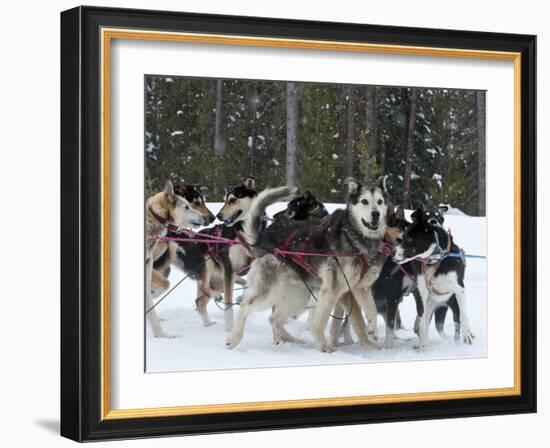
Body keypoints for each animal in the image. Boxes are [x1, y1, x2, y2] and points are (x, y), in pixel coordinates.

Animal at [227, 177, 392, 352]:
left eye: (380, 201)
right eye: (364, 201)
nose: (376, 214)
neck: (356, 236)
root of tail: (262, 239)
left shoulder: (360, 288)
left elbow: (371, 310)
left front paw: (372, 333)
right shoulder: (333, 291)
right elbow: (320, 324)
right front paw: (324, 347)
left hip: (299, 296)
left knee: (274, 319)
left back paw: (295, 341)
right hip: (271, 293)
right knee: (246, 307)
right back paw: (234, 339)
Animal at [394, 206, 476, 350]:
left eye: (409, 239)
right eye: (403, 237)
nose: (393, 251)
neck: (435, 259)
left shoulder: (459, 289)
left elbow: (464, 315)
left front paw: (467, 333)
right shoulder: (421, 293)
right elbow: (422, 323)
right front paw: (422, 347)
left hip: (452, 304)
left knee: (456, 323)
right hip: (431, 306)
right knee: (427, 324)